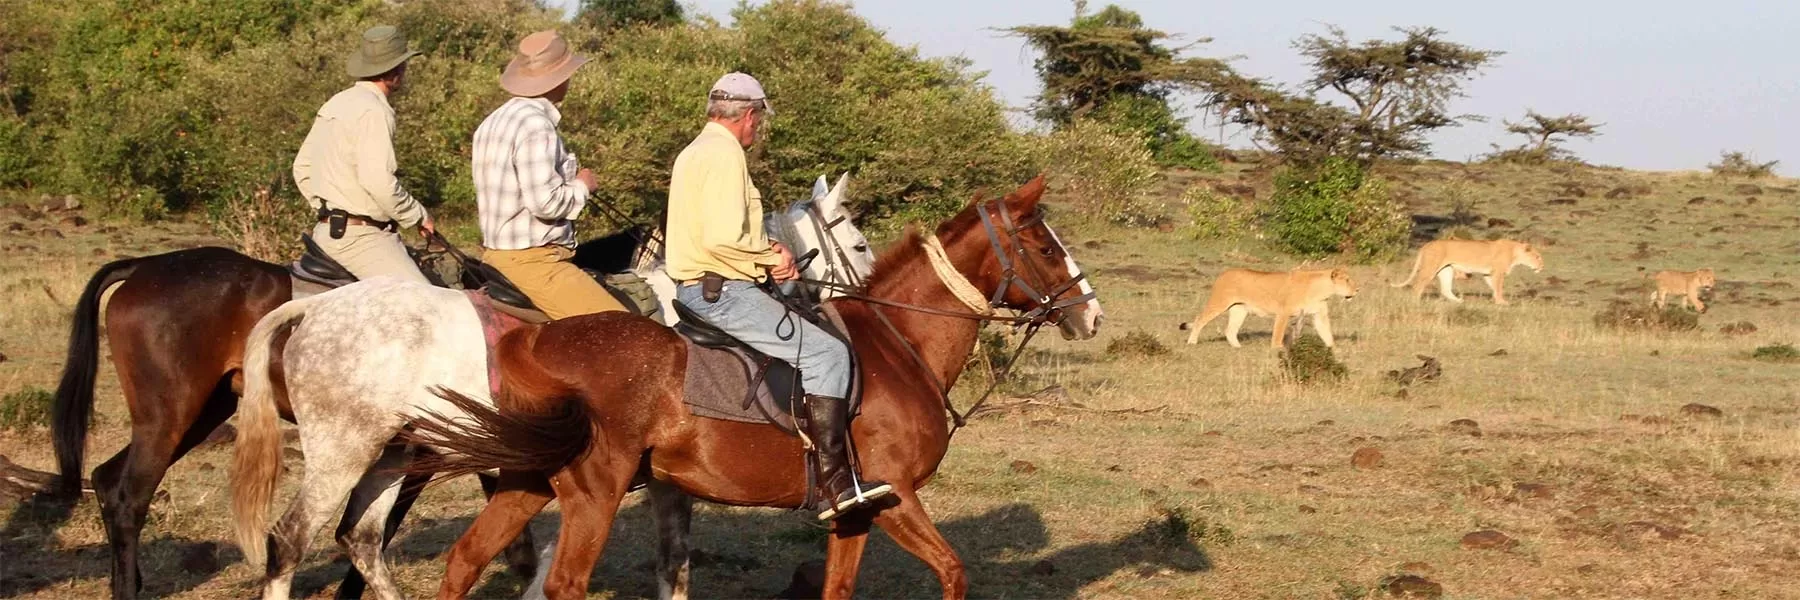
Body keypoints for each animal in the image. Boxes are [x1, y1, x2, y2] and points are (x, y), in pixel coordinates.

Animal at [410, 173, 1101, 598]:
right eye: (1045, 247)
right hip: (592, 492)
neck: (899, 343)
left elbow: (838, 587)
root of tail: (534, 341)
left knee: (465, 560)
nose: (1091, 315)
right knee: (560, 582)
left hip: (527, 480)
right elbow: (955, 573)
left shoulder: (853, 512)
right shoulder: (895, 496)